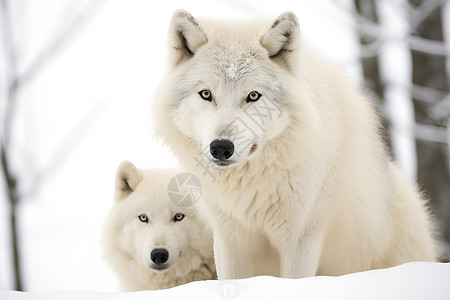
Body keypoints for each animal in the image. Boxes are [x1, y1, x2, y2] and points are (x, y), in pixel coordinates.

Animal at [152, 10, 440, 280]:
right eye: (206, 94)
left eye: (253, 96)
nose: (221, 147)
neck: (251, 188)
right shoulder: (229, 240)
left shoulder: (302, 239)